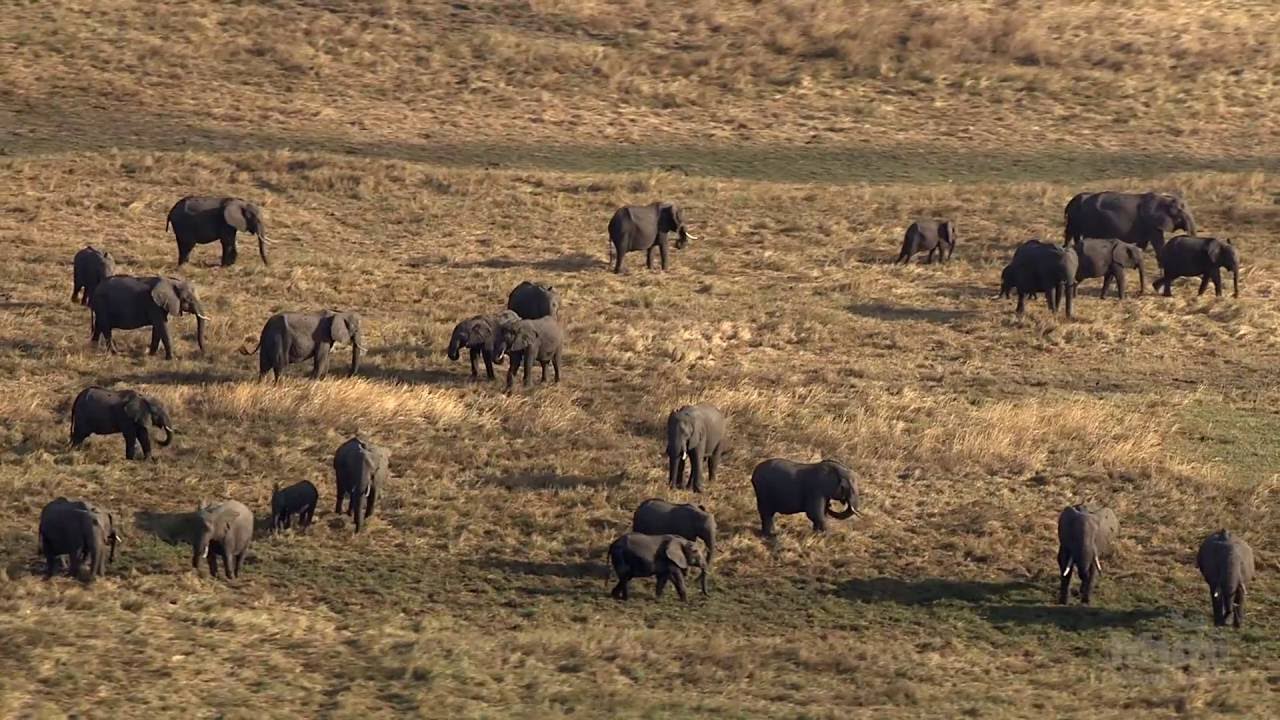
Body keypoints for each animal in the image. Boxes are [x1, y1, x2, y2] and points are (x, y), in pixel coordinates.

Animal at [1063, 191, 1195, 250]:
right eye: (1181, 211)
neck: (1164, 198)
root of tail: (1072, 201)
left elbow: (1142, 244)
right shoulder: (1151, 223)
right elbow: (1158, 243)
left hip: (1076, 219)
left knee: (1072, 234)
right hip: (1087, 220)